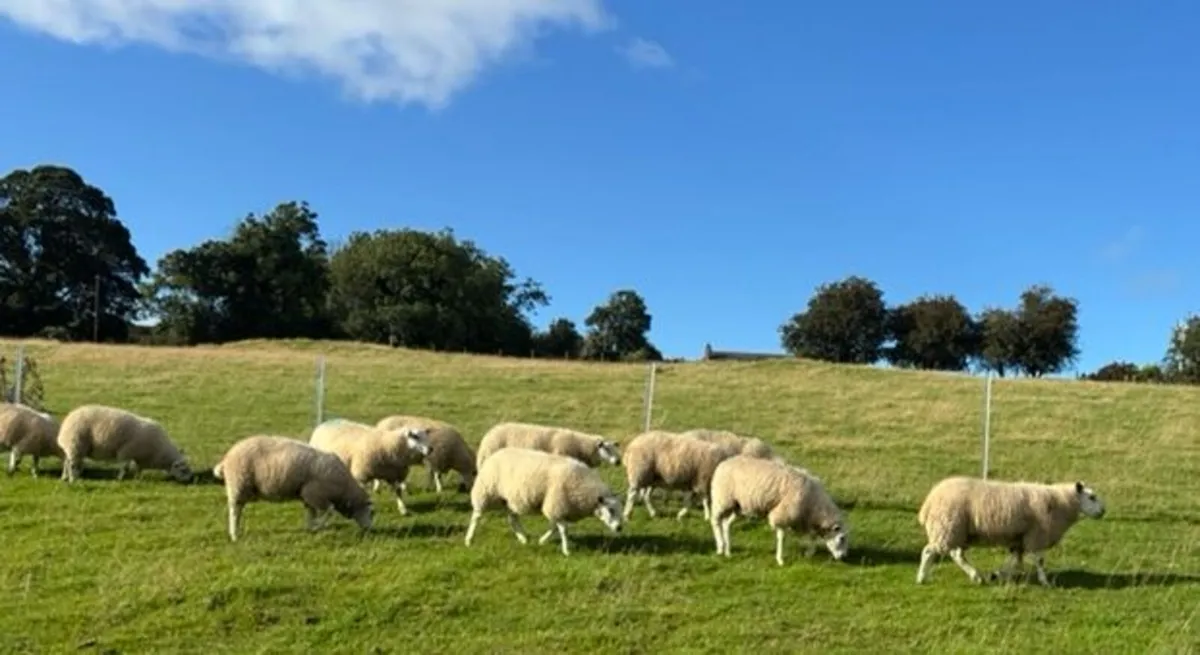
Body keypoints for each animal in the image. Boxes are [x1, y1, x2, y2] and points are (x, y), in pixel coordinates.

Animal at [56, 404, 193, 483]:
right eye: (183, 470)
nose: (189, 480)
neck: (159, 450)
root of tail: (68, 419)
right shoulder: (126, 451)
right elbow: (125, 467)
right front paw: (120, 478)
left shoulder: (140, 457)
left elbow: (139, 468)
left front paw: (138, 478)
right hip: (75, 443)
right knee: (72, 464)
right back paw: (73, 479)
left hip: (76, 448)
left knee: (67, 462)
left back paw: (64, 477)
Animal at [213, 435, 374, 542]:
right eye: (371, 513)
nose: (369, 529)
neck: (344, 488)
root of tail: (226, 459)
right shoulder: (315, 493)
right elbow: (329, 510)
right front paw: (318, 526)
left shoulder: (308, 496)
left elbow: (311, 512)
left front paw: (310, 527)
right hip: (238, 485)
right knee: (234, 513)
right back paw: (234, 534)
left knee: (238, 511)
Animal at [464, 446, 624, 556]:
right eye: (610, 510)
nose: (619, 528)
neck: (585, 488)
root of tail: (495, 454)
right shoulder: (556, 505)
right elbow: (563, 529)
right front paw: (566, 550)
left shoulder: (559, 509)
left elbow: (554, 528)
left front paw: (542, 541)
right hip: (486, 492)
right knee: (476, 516)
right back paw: (469, 539)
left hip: (509, 499)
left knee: (512, 519)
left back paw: (523, 539)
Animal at [709, 455, 849, 566]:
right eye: (842, 538)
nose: (843, 557)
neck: (814, 503)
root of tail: (724, 462)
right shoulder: (783, 514)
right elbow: (782, 538)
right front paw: (780, 560)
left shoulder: (804, 519)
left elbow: (811, 536)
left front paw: (809, 553)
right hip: (722, 499)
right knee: (715, 521)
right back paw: (720, 547)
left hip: (738, 506)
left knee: (726, 524)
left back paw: (728, 551)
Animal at [915, 476, 1107, 587]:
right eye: (1092, 497)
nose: (1103, 511)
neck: (1059, 501)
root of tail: (930, 499)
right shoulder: (1036, 536)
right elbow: (1039, 560)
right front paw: (1045, 582)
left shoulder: (1020, 539)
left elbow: (1014, 561)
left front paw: (997, 575)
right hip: (947, 527)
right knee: (929, 551)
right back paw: (921, 578)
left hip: (960, 532)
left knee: (957, 555)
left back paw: (976, 576)